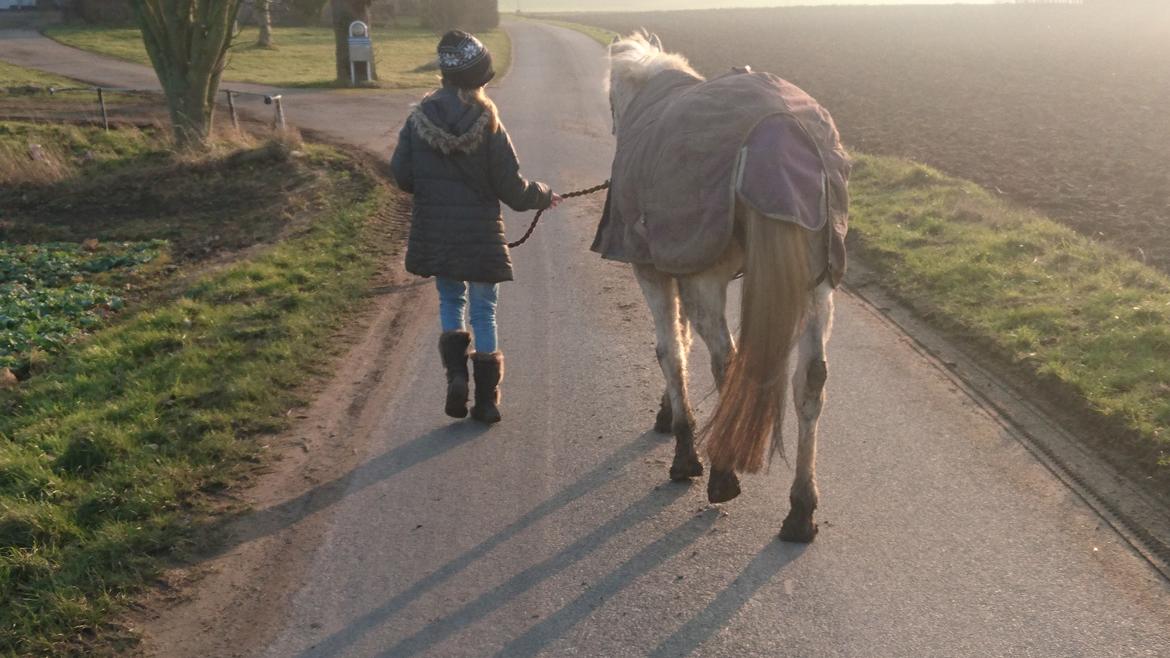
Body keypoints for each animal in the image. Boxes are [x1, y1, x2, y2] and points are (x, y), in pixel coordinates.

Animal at [608, 33, 837, 540]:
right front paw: (668, 415)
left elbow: (670, 349)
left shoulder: (655, 269)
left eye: (611, 100)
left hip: (706, 279)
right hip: (817, 285)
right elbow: (680, 342)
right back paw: (801, 509)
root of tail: (778, 129)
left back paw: (723, 474)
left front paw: (684, 449)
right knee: (811, 379)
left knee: (728, 362)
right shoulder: (679, 261)